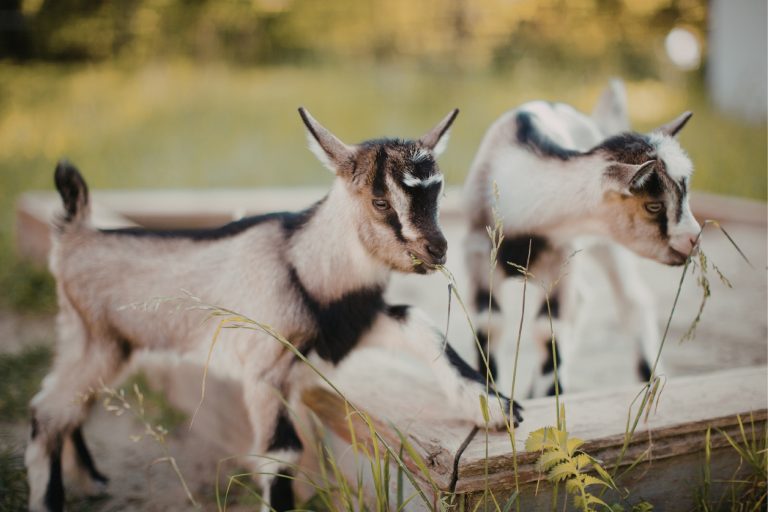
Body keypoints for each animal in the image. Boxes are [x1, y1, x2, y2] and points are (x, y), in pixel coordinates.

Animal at [26, 108, 521, 512]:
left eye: (437, 195)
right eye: (381, 201)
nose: (437, 250)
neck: (304, 262)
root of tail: (74, 233)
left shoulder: (353, 327)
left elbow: (421, 324)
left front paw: (495, 409)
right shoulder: (265, 371)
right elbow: (280, 453)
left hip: (99, 344)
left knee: (65, 405)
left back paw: (91, 479)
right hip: (99, 343)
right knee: (47, 412)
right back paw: (51, 499)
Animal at [463, 80, 701, 397]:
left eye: (685, 193)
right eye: (654, 206)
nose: (694, 239)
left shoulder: (561, 258)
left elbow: (548, 329)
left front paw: (549, 397)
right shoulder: (477, 254)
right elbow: (490, 324)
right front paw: (492, 393)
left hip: (607, 245)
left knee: (631, 301)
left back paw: (650, 381)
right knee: (584, 298)